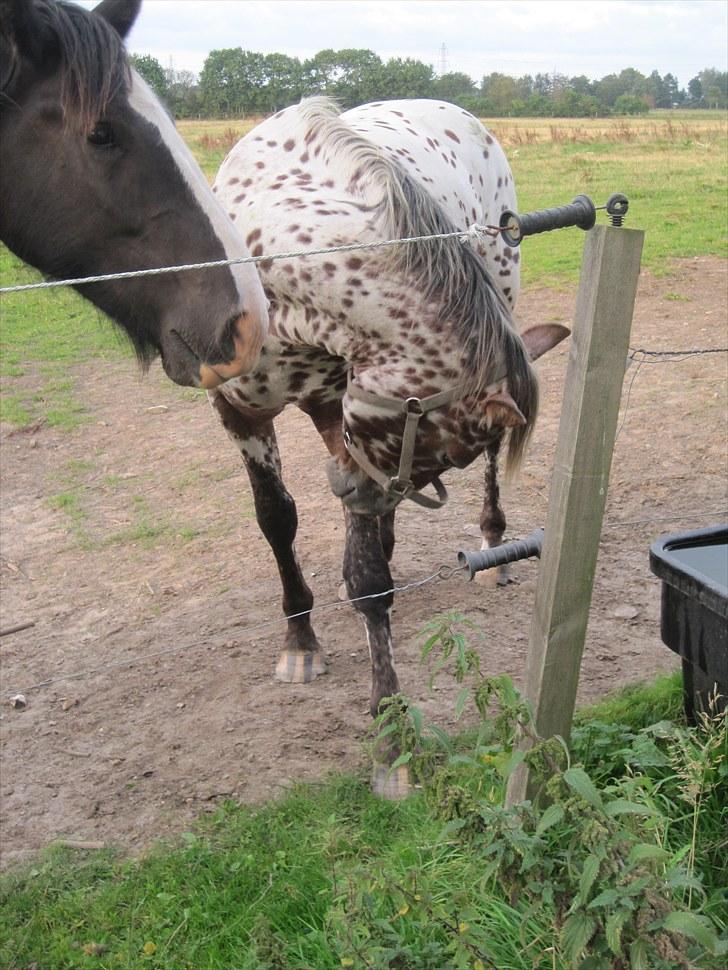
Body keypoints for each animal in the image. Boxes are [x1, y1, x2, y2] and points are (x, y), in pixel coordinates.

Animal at [212, 100, 568, 796]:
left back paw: (491, 542)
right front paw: (300, 640)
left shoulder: (338, 405)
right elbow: (276, 519)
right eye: (428, 439)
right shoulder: (240, 410)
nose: (351, 491)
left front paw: (392, 734)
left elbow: (370, 580)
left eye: (449, 452)